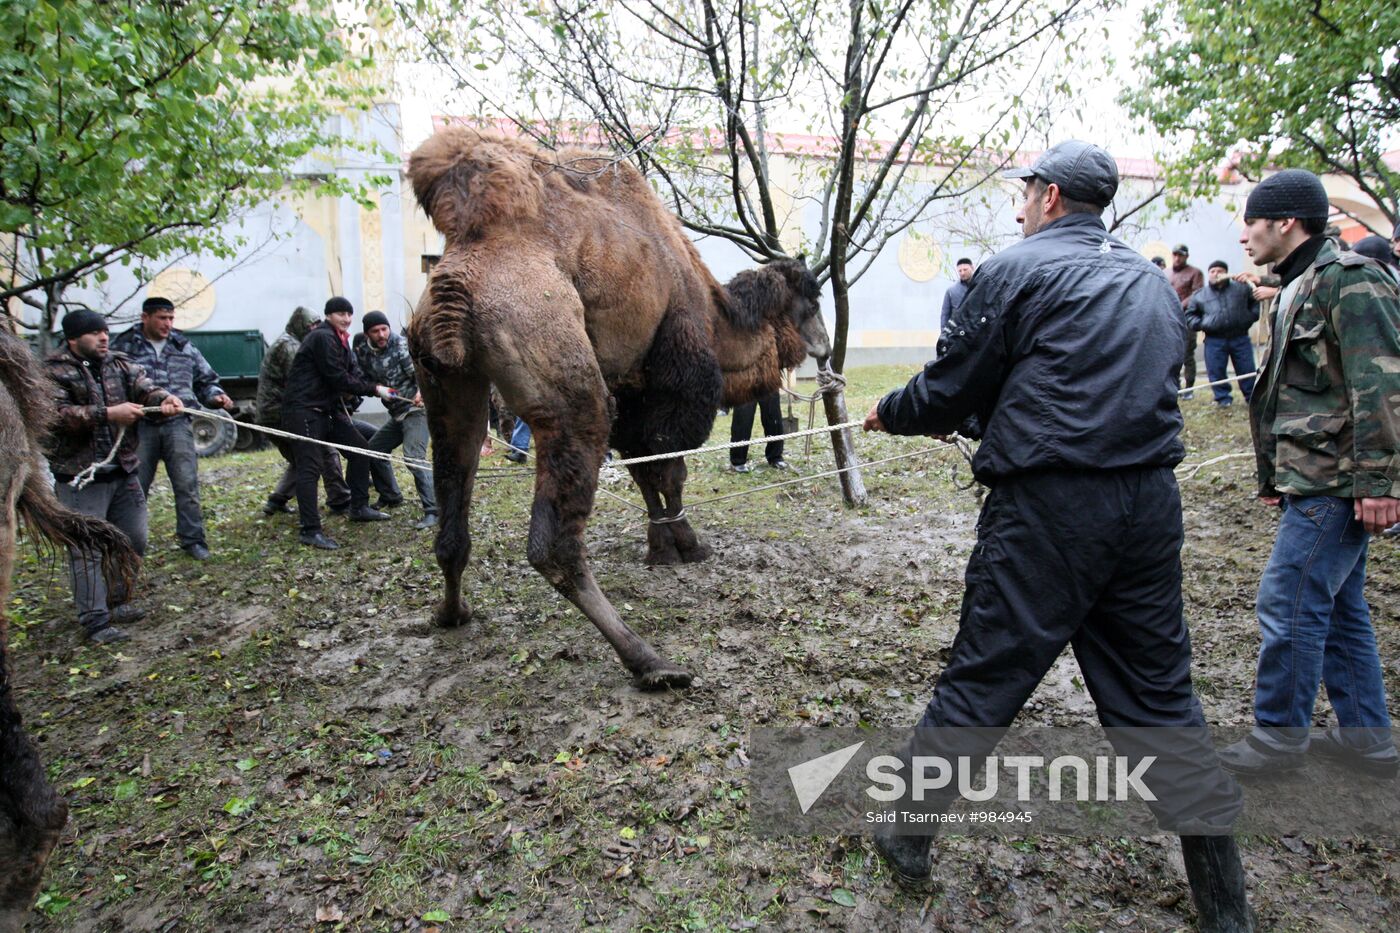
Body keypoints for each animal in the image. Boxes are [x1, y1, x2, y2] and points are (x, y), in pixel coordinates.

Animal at [406, 127, 828, 686]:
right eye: (814, 299)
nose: (826, 345)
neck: (718, 317)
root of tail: (457, 278)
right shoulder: (677, 383)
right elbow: (670, 470)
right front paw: (685, 546)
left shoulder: (631, 392)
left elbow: (645, 471)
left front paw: (662, 548)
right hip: (564, 376)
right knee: (554, 543)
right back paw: (651, 662)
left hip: (446, 385)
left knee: (455, 501)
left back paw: (451, 614)